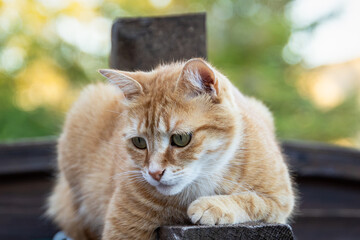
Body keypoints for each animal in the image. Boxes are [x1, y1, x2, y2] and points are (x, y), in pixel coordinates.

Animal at [47, 58, 296, 240]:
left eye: (180, 139)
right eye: (139, 142)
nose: (155, 173)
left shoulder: (280, 200)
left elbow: (251, 201)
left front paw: (211, 205)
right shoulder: (124, 229)